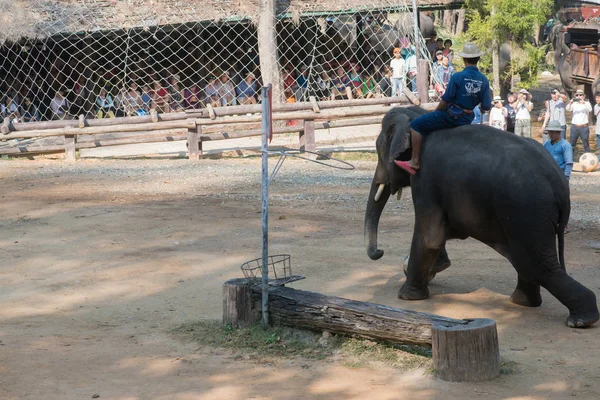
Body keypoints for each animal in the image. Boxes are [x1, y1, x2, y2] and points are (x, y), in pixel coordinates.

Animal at [366, 106, 600, 328]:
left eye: (379, 152)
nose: (379, 252)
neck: (421, 115)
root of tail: (560, 185)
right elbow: (444, 232)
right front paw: (435, 268)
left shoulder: (425, 178)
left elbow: (430, 237)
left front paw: (408, 296)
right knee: (528, 262)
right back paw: (524, 303)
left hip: (527, 211)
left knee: (535, 264)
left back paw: (580, 320)